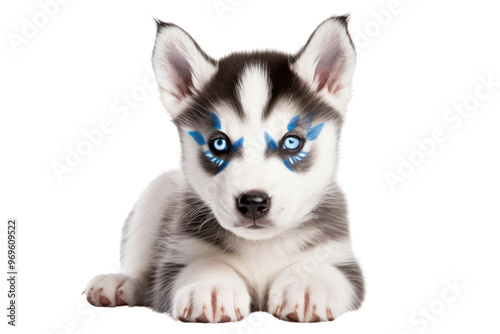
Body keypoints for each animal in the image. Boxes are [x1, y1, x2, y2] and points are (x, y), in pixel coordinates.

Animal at [84, 15, 366, 324]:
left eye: (292, 142)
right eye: (218, 143)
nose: (253, 202)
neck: (261, 247)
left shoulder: (339, 258)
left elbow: (323, 268)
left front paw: (307, 284)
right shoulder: (178, 255)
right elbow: (203, 263)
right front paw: (210, 285)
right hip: (158, 190)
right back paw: (119, 283)